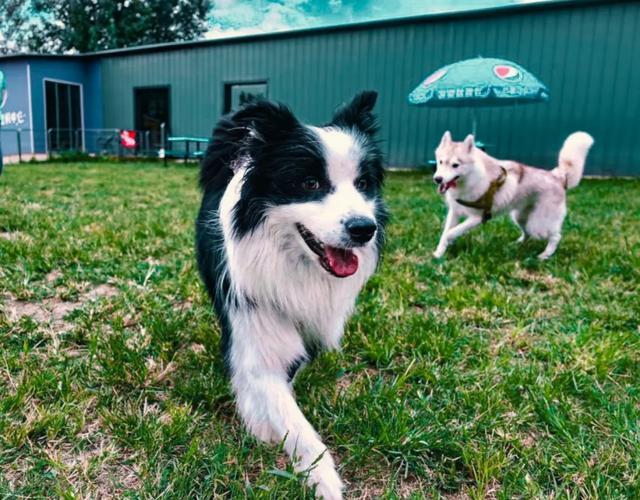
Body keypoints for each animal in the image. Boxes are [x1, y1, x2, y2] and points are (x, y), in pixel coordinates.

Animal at [194, 92, 384, 498]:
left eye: (363, 183)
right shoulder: (253, 321)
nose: (364, 229)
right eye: (309, 182)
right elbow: (288, 413)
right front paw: (324, 479)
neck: (297, 267)